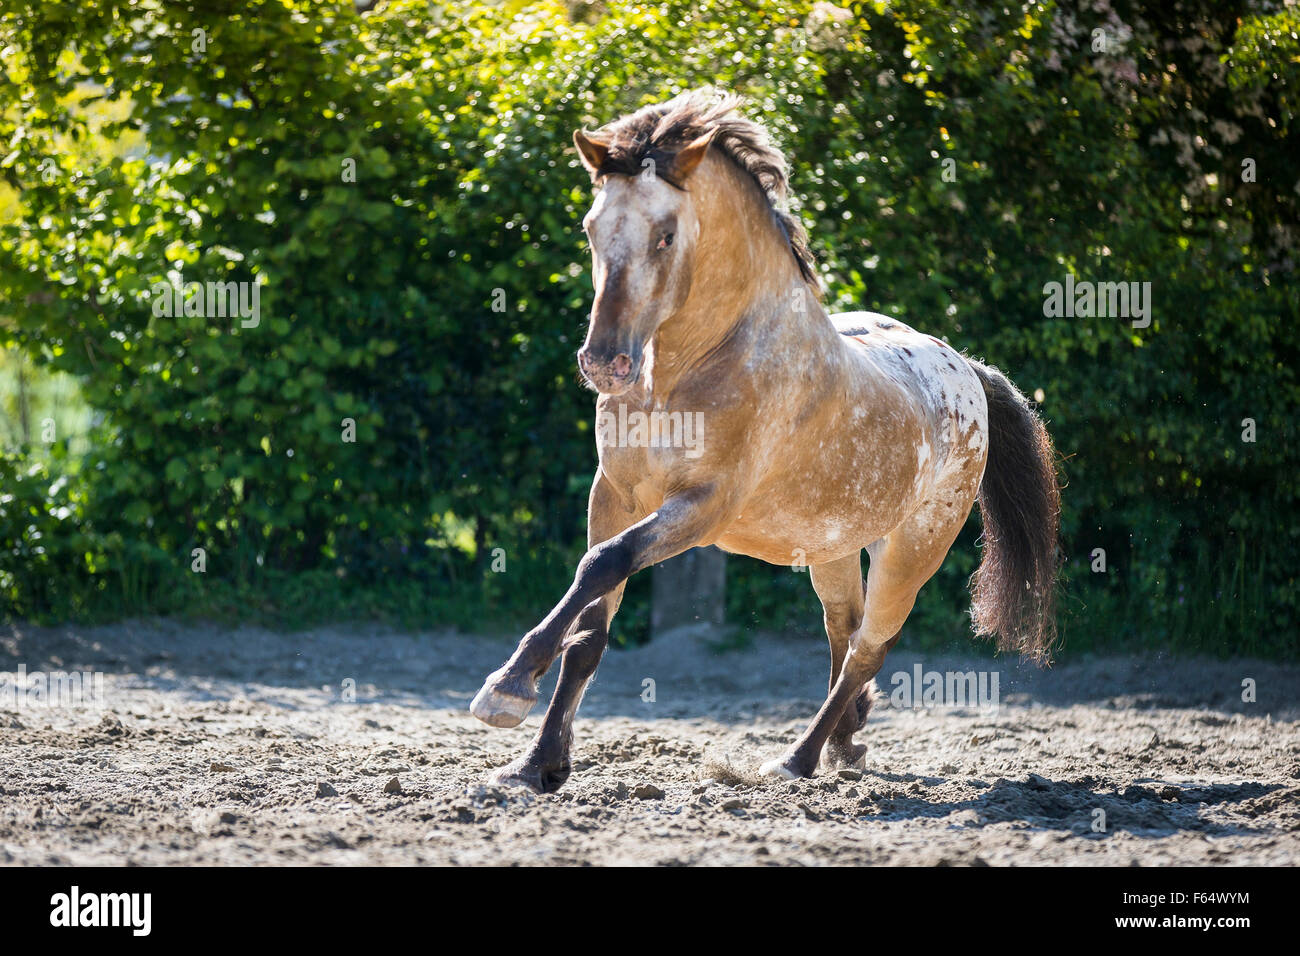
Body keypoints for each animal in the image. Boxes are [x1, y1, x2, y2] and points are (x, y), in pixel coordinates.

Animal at [467, 91, 1055, 790]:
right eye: (590, 228)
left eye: (666, 236)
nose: (605, 363)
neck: (690, 366)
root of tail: (966, 367)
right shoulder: (613, 495)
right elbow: (589, 630)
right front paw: (538, 764)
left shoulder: (704, 507)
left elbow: (603, 562)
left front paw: (506, 689)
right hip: (832, 543)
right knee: (842, 632)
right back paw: (844, 743)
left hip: (914, 550)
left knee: (867, 648)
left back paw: (797, 759)